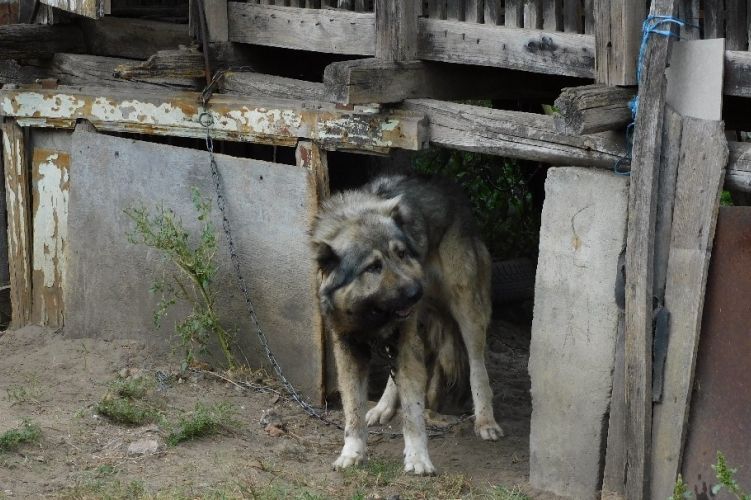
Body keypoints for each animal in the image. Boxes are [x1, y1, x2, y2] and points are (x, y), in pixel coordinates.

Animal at [312, 174, 506, 474]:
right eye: (373, 267)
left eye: (401, 254)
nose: (417, 292)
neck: (371, 315)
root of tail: (446, 185)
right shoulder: (349, 347)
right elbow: (352, 410)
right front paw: (352, 452)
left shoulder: (408, 339)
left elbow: (413, 414)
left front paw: (418, 459)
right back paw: (382, 408)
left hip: (467, 310)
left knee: (477, 366)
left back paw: (485, 421)